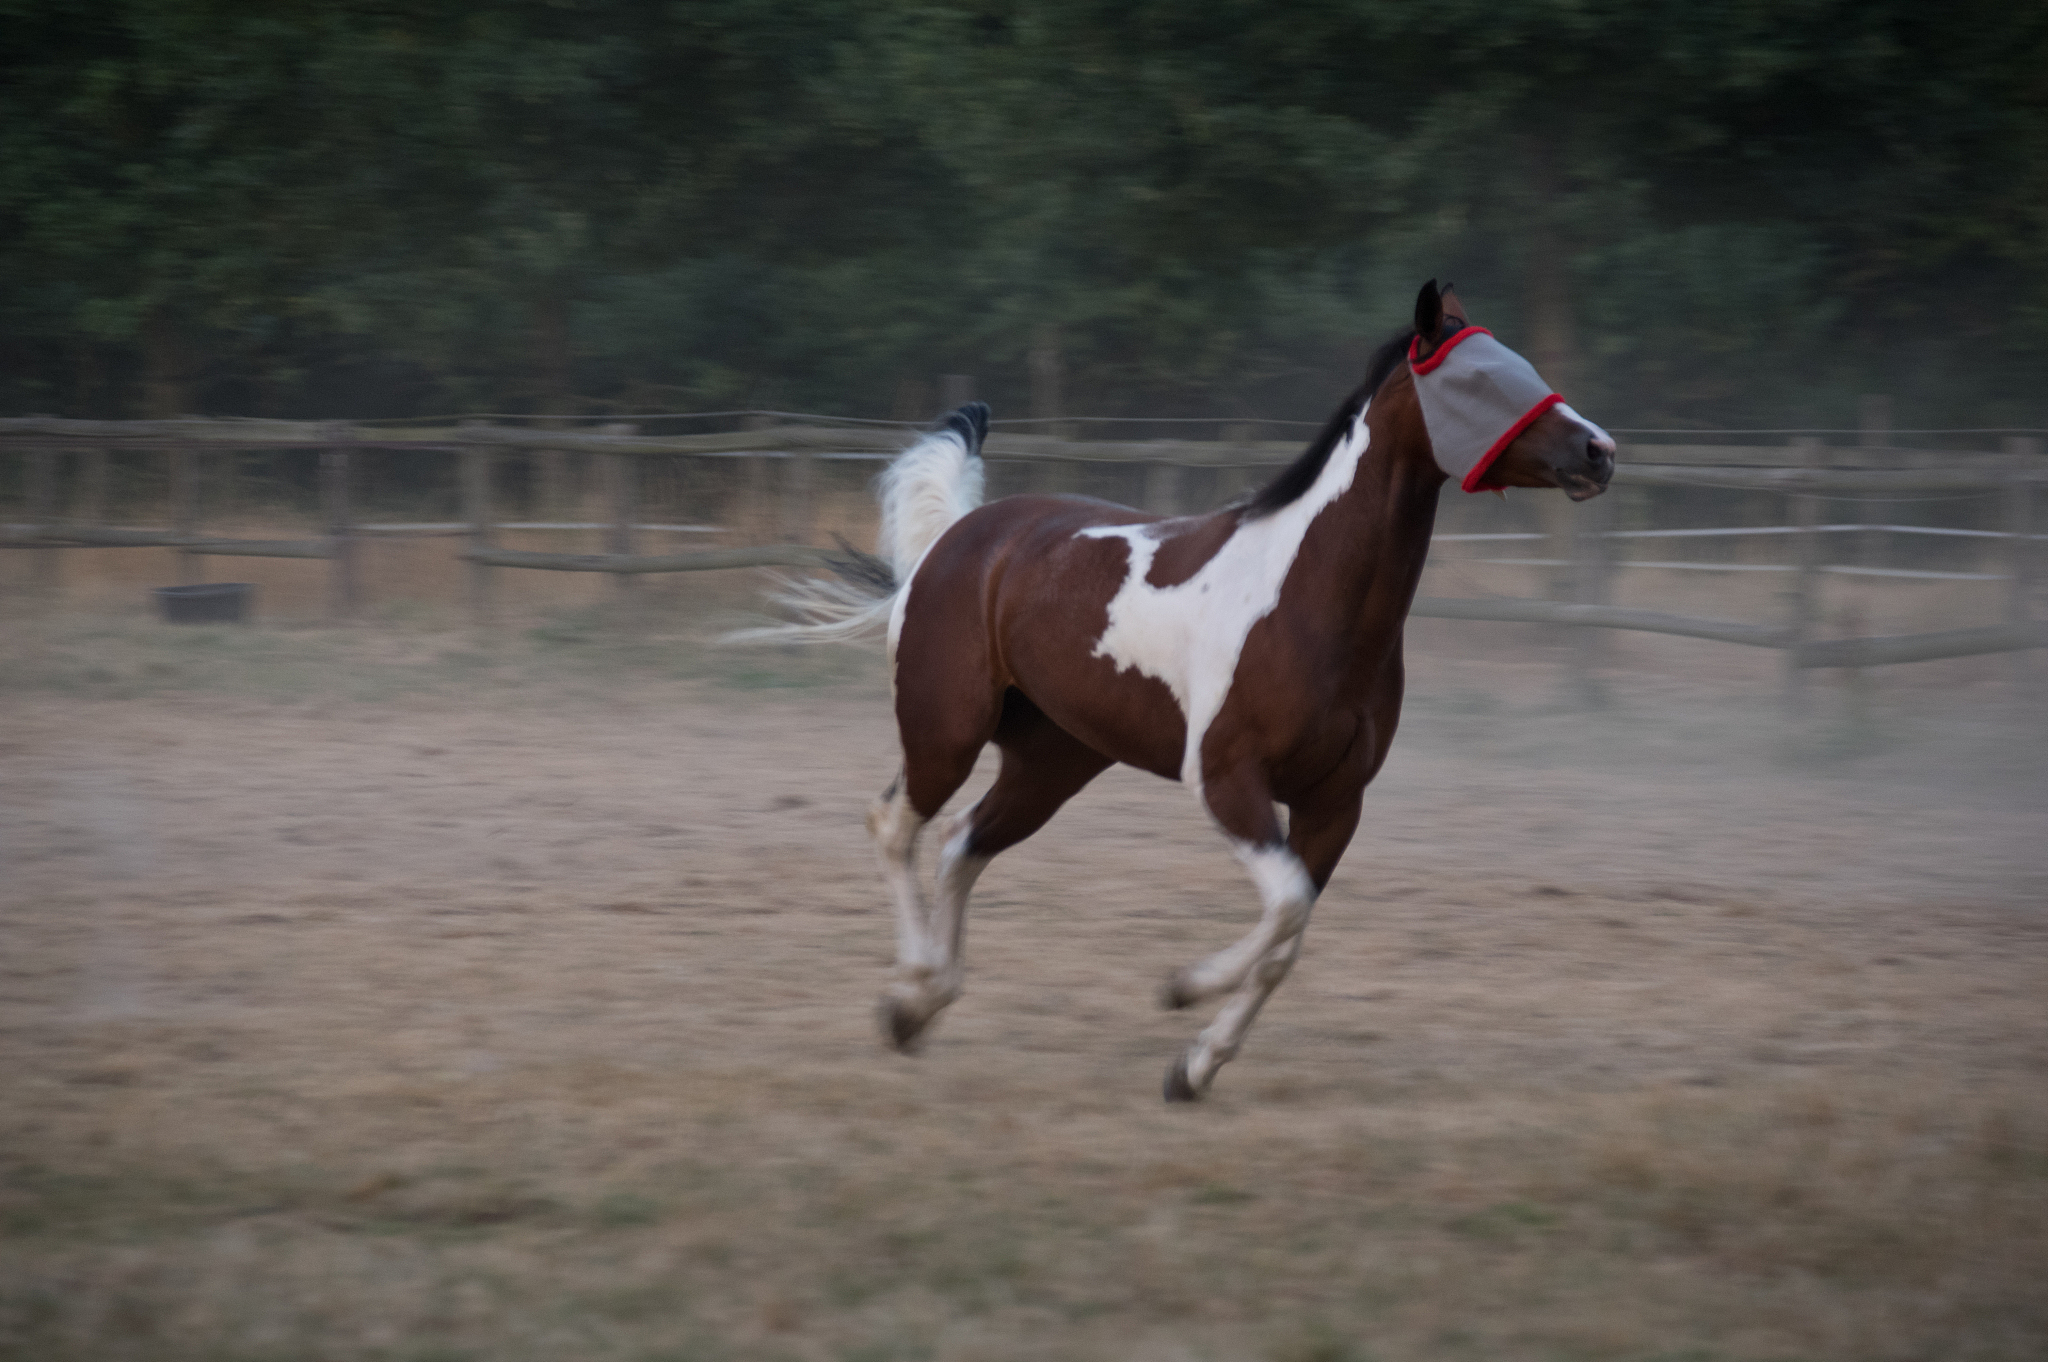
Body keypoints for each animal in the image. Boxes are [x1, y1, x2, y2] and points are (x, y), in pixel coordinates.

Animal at [746, 281, 1614, 1101]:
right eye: (1479, 381)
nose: (1599, 449)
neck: (1307, 599)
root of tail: (955, 541)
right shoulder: (1227, 779)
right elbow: (1286, 908)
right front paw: (1182, 989)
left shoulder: (1336, 801)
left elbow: (1289, 935)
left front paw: (1192, 1068)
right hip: (945, 732)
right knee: (897, 826)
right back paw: (909, 997)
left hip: (1053, 761)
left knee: (964, 841)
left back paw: (925, 1006)